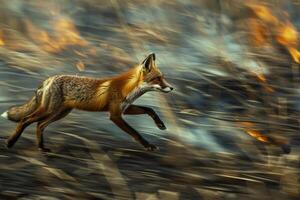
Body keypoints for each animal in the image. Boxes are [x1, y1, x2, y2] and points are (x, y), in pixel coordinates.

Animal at [1, 53, 173, 152]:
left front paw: (160, 125)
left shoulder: (125, 108)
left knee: (40, 125)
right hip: (49, 110)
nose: (171, 88)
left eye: (163, 77)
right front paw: (148, 145)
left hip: (60, 113)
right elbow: (135, 132)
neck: (128, 89)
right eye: (157, 79)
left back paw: (41, 147)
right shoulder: (115, 115)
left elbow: (150, 109)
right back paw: (10, 143)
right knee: (25, 120)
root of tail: (49, 79)